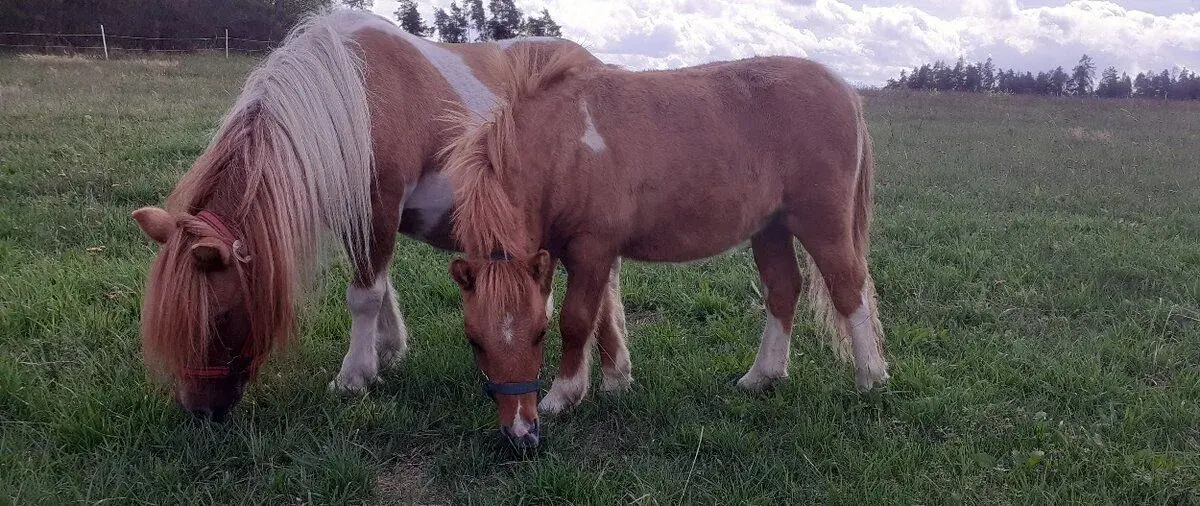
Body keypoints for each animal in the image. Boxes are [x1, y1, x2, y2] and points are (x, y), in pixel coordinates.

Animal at [129, 10, 629, 422]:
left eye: (218, 318)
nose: (199, 411)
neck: (350, 95)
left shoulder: (379, 205)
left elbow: (364, 294)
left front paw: (355, 375)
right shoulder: (354, 216)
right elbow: (380, 284)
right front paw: (387, 349)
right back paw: (615, 373)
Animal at [441, 47, 891, 446]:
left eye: (538, 335)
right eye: (474, 340)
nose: (521, 432)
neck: (565, 145)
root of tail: (844, 89)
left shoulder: (591, 248)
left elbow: (577, 320)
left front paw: (563, 395)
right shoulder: (572, 254)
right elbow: (602, 316)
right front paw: (615, 381)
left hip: (823, 226)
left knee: (849, 289)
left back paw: (871, 377)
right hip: (772, 228)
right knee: (783, 290)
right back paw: (762, 376)